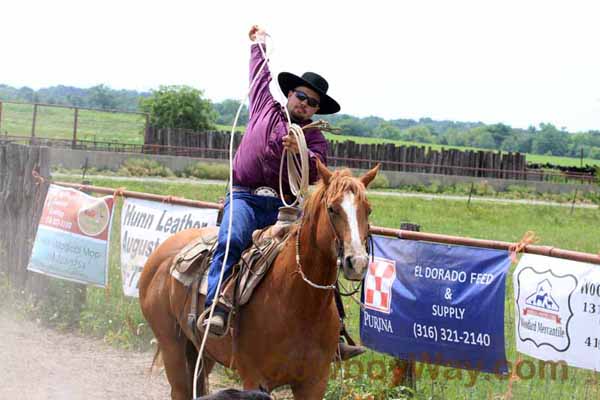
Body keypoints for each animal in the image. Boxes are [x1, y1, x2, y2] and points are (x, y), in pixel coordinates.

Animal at [138, 161, 378, 398]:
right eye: (332, 208)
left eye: (368, 210)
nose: (357, 262)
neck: (299, 303)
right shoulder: (255, 378)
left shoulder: (314, 382)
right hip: (171, 347)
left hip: (202, 351)